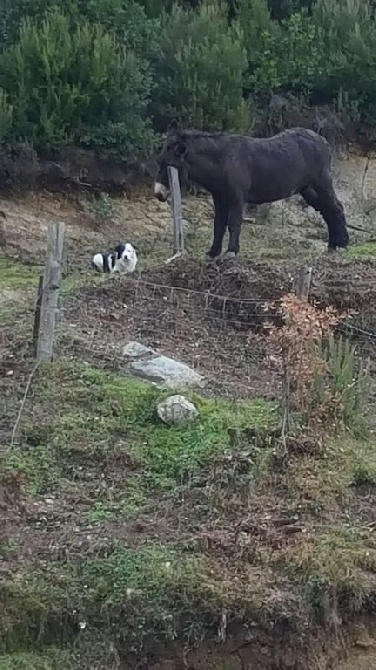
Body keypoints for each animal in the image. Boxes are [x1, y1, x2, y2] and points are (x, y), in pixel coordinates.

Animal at [153, 126, 350, 260]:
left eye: (169, 165)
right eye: (159, 162)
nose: (158, 194)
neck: (221, 161)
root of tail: (321, 139)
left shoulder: (236, 197)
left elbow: (233, 223)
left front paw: (231, 251)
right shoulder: (219, 197)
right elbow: (218, 225)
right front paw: (213, 252)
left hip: (321, 183)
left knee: (337, 208)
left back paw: (342, 244)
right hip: (308, 190)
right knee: (328, 211)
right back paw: (332, 245)